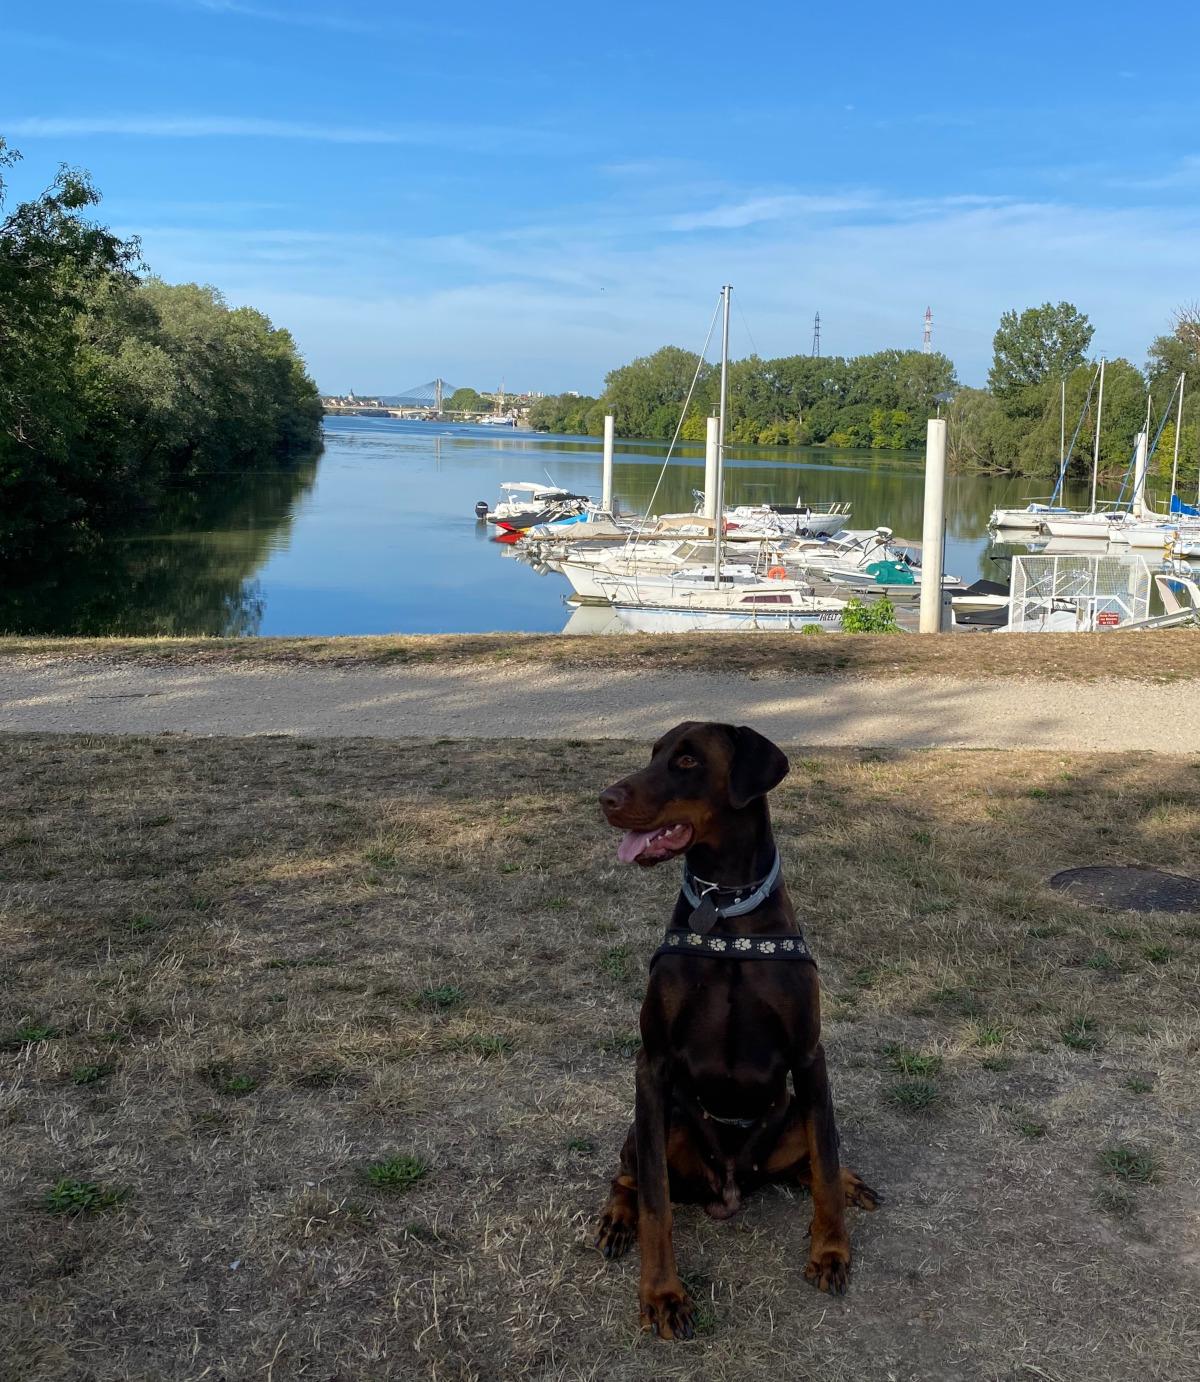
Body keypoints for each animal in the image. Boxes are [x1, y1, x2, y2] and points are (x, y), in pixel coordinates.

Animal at [594, 724, 879, 1337]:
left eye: (686, 761)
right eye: (652, 754)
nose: (605, 798)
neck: (725, 911)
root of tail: (730, 1185)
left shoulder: (809, 1056)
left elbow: (824, 1164)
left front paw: (830, 1252)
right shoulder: (652, 1064)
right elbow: (655, 1200)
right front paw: (662, 1295)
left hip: (791, 1111)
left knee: (813, 1156)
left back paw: (848, 1181)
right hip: (664, 1121)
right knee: (629, 1176)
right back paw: (616, 1220)